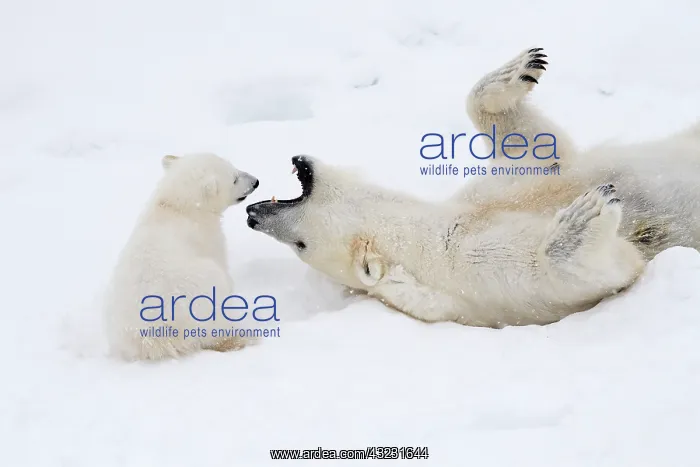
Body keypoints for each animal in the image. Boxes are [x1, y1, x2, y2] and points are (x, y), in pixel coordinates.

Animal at [104, 152, 259, 360]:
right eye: (234, 178)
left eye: (235, 167)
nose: (256, 181)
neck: (177, 207)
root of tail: (154, 340)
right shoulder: (207, 237)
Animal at [245, 47, 700, 328]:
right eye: (302, 247)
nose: (252, 215)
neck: (420, 230)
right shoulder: (472, 267)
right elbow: (610, 265)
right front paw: (584, 214)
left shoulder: (492, 191)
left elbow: (544, 151)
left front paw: (522, 68)